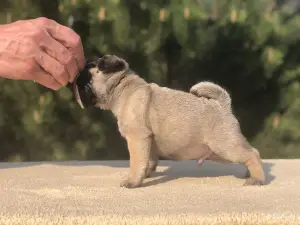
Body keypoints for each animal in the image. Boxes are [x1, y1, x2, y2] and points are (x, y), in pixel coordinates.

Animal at [72, 54, 264, 188]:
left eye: (88, 70)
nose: (76, 75)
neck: (124, 88)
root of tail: (222, 105)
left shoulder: (137, 139)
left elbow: (136, 162)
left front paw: (133, 181)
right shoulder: (148, 142)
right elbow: (148, 161)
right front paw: (145, 175)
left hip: (225, 145)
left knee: (253, 154)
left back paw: (257, 179)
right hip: (220, 152)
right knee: (248, 153)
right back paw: (250, 174)